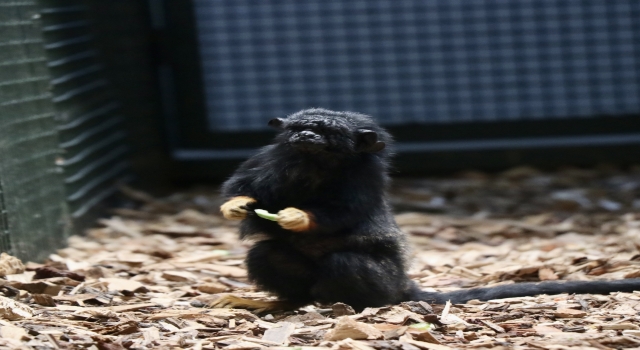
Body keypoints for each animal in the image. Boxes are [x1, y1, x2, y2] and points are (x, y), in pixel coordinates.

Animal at [216, 108, 640, 312]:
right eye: (297, 130)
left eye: (325, 133)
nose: (304, 135)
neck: (314, 165)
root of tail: (403, 286)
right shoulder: (272, 160)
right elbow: (245, 189)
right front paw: (236, 206)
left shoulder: (362, 179)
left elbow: (345, 214)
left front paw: (298, 217)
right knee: (268, 254)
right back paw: (290, 301)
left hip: (385, 283)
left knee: (348, 263)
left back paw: (353, 305)